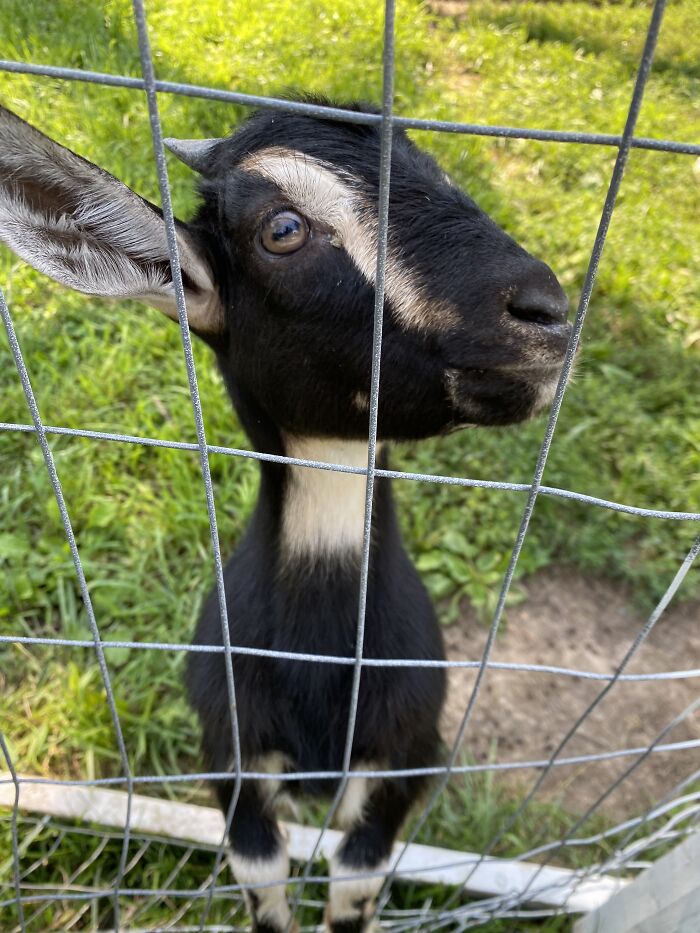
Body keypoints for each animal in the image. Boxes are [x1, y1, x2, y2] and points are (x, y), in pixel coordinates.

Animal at [0, 100, 570, 933]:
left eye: (439, 171)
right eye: (284, 229)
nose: (545, 311)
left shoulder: (407, 756)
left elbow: (356, 881)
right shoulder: (230, 757)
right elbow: (264, 880)